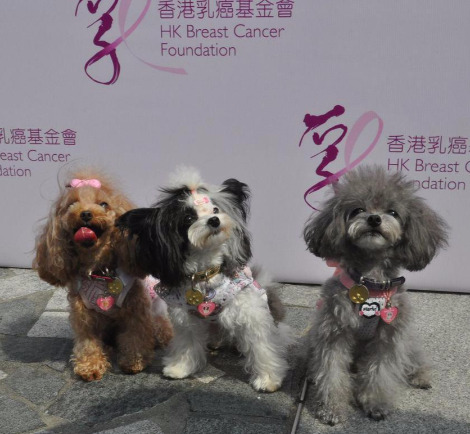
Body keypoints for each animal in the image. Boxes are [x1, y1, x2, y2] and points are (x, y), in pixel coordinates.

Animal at [34, 169, 173, 381]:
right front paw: (90, 367)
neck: (100, 270)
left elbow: (135, 336)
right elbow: (87, 342)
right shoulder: (83, 315)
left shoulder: (135, 310)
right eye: (71, 204)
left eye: (103, 204)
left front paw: (134, 362)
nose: (85, 213)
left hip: (155, 317)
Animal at [117, 167, 292, 392]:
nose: (214, 220)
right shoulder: (186, 317)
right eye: (189, 218)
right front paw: (180, 368)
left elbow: (262, 347)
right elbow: (187, 344)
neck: (206, 274)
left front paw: (268, 379)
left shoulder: (250, 314)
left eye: (215, 209)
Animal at [303, 165, 448, 424]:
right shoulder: (334, 332)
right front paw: (331, 408)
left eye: (393, 212)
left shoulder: (388, 337)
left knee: (413, 358)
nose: (374, 218)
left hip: (406, 339)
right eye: (358, 210)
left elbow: (381, 372)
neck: (371, 284)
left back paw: (420, 376)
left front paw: (376, 404)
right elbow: (331, 373)